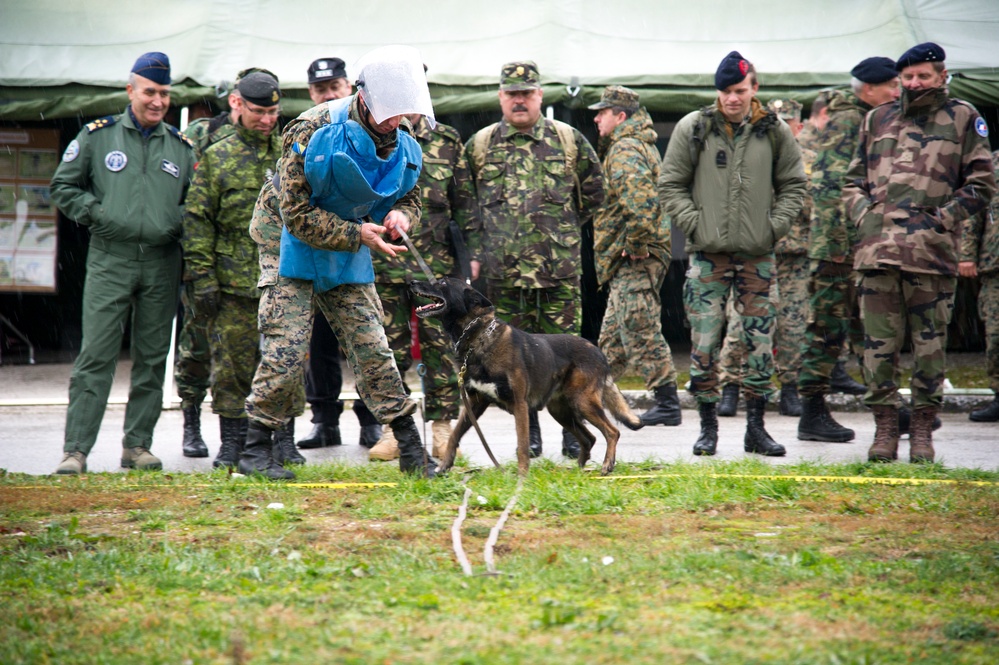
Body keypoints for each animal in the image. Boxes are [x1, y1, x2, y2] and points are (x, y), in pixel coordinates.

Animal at [410, 278, 644, 474]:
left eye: (442, 283)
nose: (411, 281)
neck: (479, 338)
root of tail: (598, 351)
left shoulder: (519, 405)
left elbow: (522, 445)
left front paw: (522, 477)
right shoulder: (475, 404)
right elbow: (454, 435)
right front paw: (444, 465)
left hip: (582, 402)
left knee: (612, 431)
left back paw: (607, 464)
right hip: (561, 410)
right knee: (590, 438)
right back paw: (578, 469)